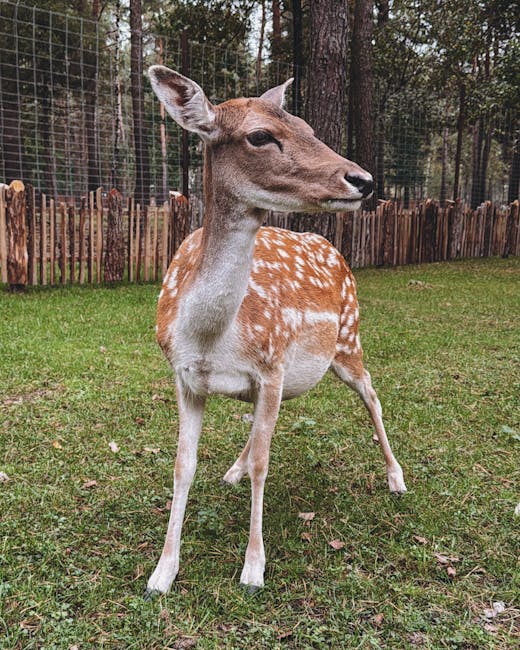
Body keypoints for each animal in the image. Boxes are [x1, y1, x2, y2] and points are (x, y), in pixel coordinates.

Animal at [145, 65, 407, 597]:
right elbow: (183, 465)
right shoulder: (186, 377)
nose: (364, 179)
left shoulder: (270, 365)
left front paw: (253, 569)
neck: (210, 338)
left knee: (372, 394)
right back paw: (233, 468)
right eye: (260, 136)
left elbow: (266, 464)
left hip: (348, 339)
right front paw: (162, 573)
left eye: (308, 127)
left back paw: (396, 478)